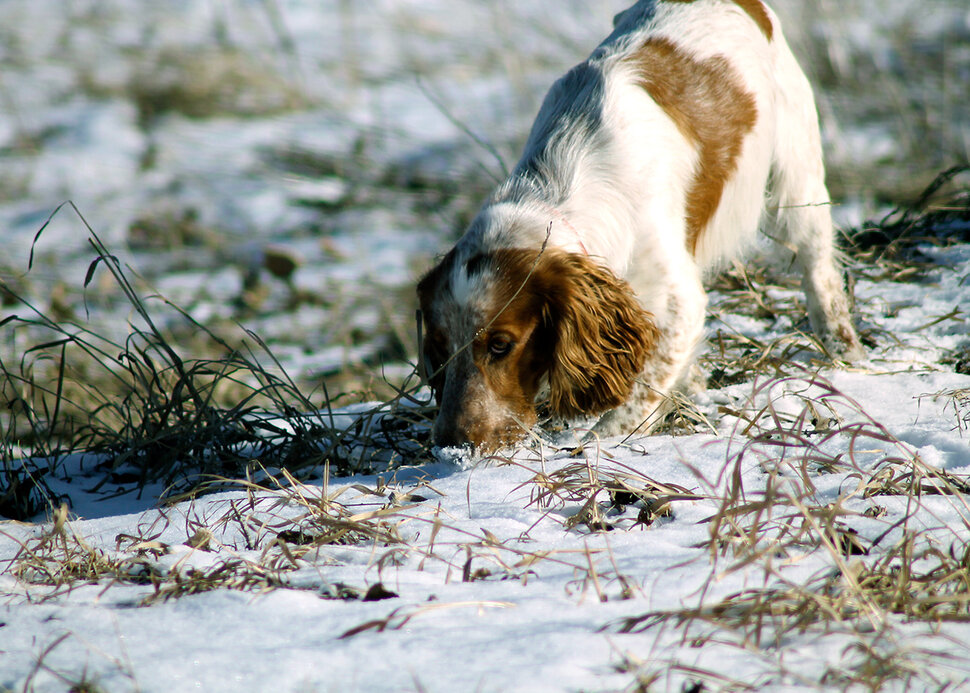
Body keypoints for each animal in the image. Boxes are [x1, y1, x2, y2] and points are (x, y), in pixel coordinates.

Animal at [416, 0, 864, 452]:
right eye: (438, 348)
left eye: (500, 345)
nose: (450, 444)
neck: (557, 183)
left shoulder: (679, 302)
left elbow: (635, 401)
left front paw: (599, 444)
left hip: (796, 182)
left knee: (818, 266)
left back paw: (844, 349)